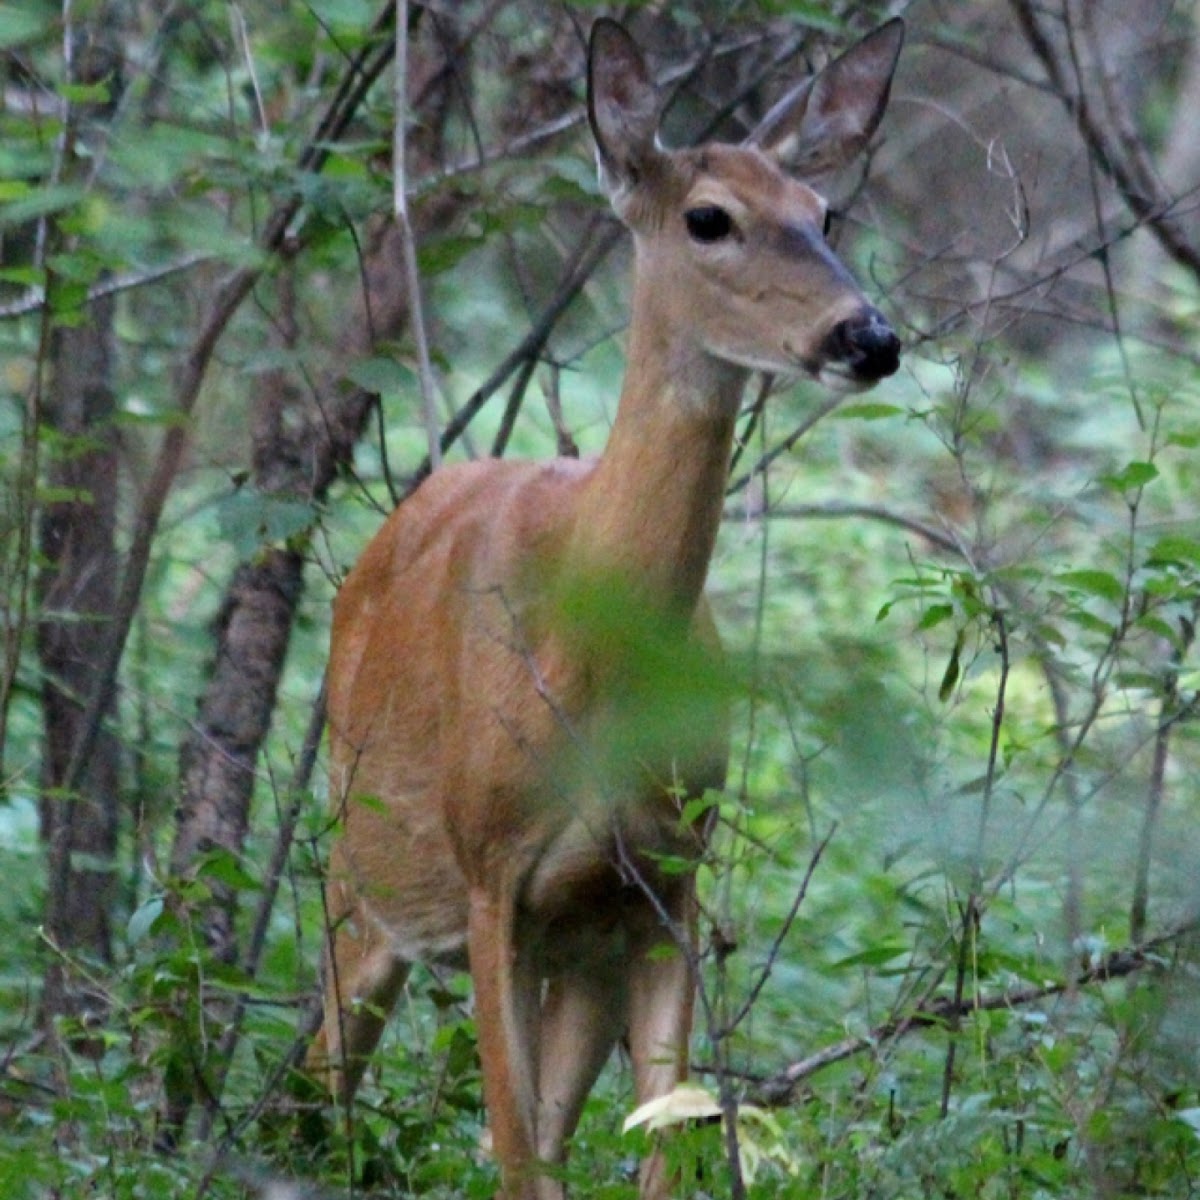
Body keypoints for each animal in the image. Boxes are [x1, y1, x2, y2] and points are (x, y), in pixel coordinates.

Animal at [309, 14, 902, 1195]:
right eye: (709, 217)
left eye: (825, 211)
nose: (869, 337)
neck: (591, 661)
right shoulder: (491, 872)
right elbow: (515, 1160)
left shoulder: (664, 885)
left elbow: (654, 1148)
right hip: (363, 875)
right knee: (319, 1081)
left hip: (572, 950)